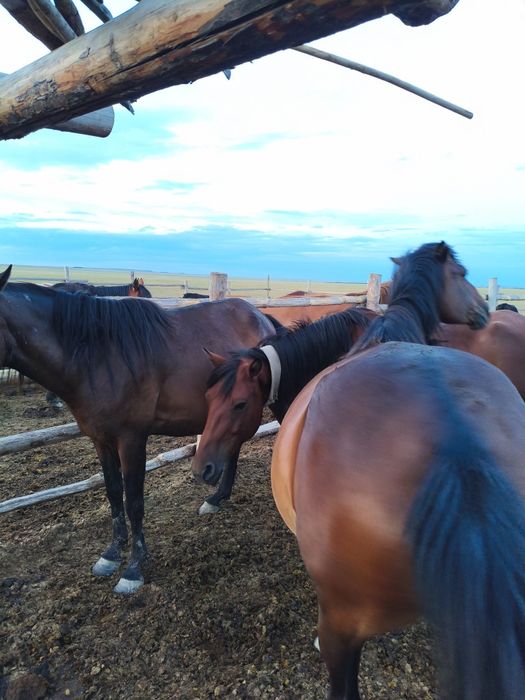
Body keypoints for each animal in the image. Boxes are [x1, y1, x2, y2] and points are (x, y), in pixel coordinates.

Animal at [0, 265, 279, 594]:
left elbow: (134, 501)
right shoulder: (101, 440)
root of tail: (261, 316)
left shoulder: (131, 439)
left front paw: (133, 568)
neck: (98, 355)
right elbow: (112, 493)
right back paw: (216, 498)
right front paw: (111, 553)